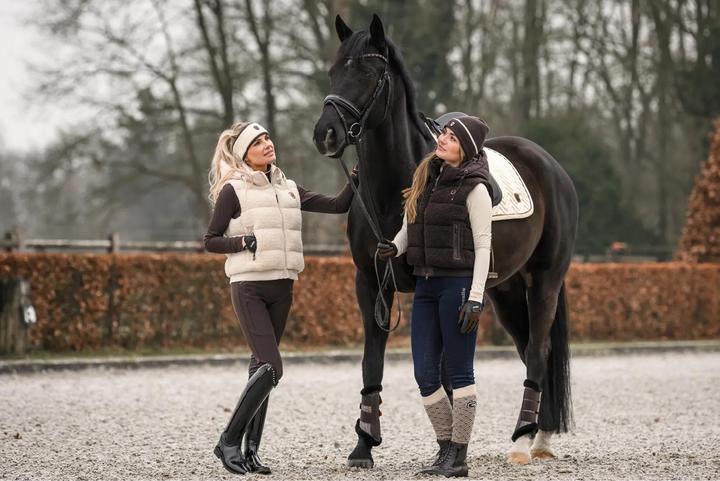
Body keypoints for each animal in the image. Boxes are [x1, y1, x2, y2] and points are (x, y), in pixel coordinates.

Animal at [312, 14, 578, 467]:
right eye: (333, 71)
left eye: (367, 74)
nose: (325, 134)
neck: (394, 192)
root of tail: (551, 167)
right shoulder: (370, 283)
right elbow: (372, 363)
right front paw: (364, 445)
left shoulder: (432, 287)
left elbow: (442, 370)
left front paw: (450, 448)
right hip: (505, 290)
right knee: (529, 348)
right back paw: (536, 435)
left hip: (544, 281)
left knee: (539, 351)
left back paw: (526, 441)